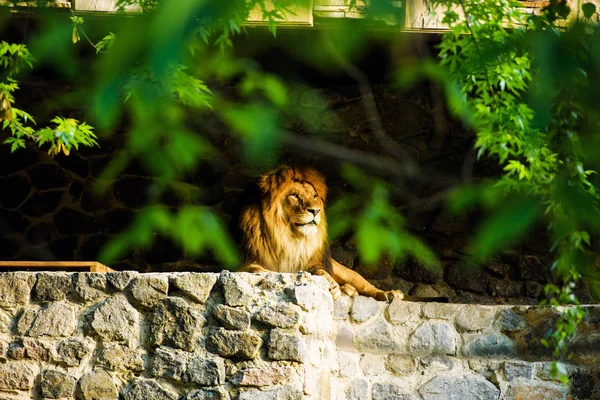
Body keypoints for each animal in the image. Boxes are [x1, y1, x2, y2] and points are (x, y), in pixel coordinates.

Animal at [239, 166, 446, 304]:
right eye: (294, 196)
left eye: (314, 196)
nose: (316, 211)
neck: (289, 238)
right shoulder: (245, 260)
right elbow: (257, 269)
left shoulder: (315, 263)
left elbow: (320, 272)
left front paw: (332, 286)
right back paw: (348, 290)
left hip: (347, 272)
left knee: (367, 287)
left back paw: (388, 293)